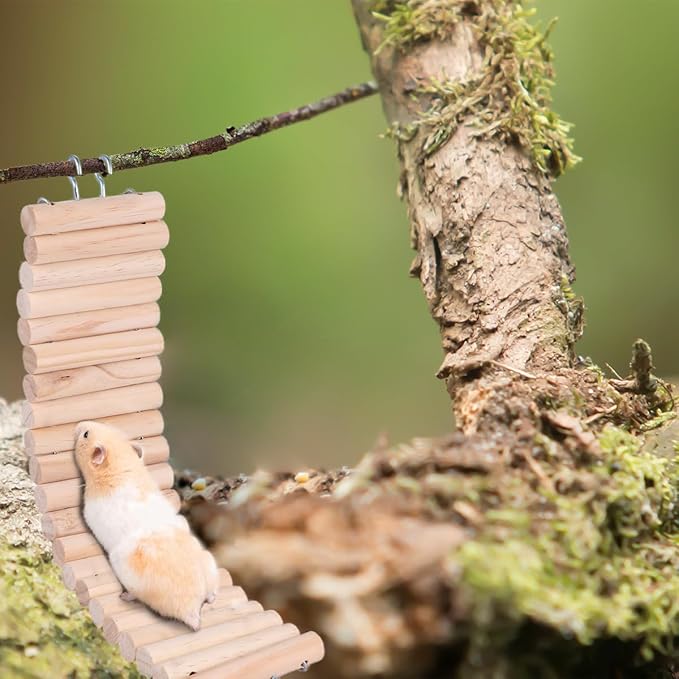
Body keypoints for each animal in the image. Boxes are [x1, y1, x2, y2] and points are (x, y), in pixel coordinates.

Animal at [74, 421, 218, 630]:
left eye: (85, 434)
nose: (79, 424)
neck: (122, 464)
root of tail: (192, 609)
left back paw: (125, 596)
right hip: (209, 562)